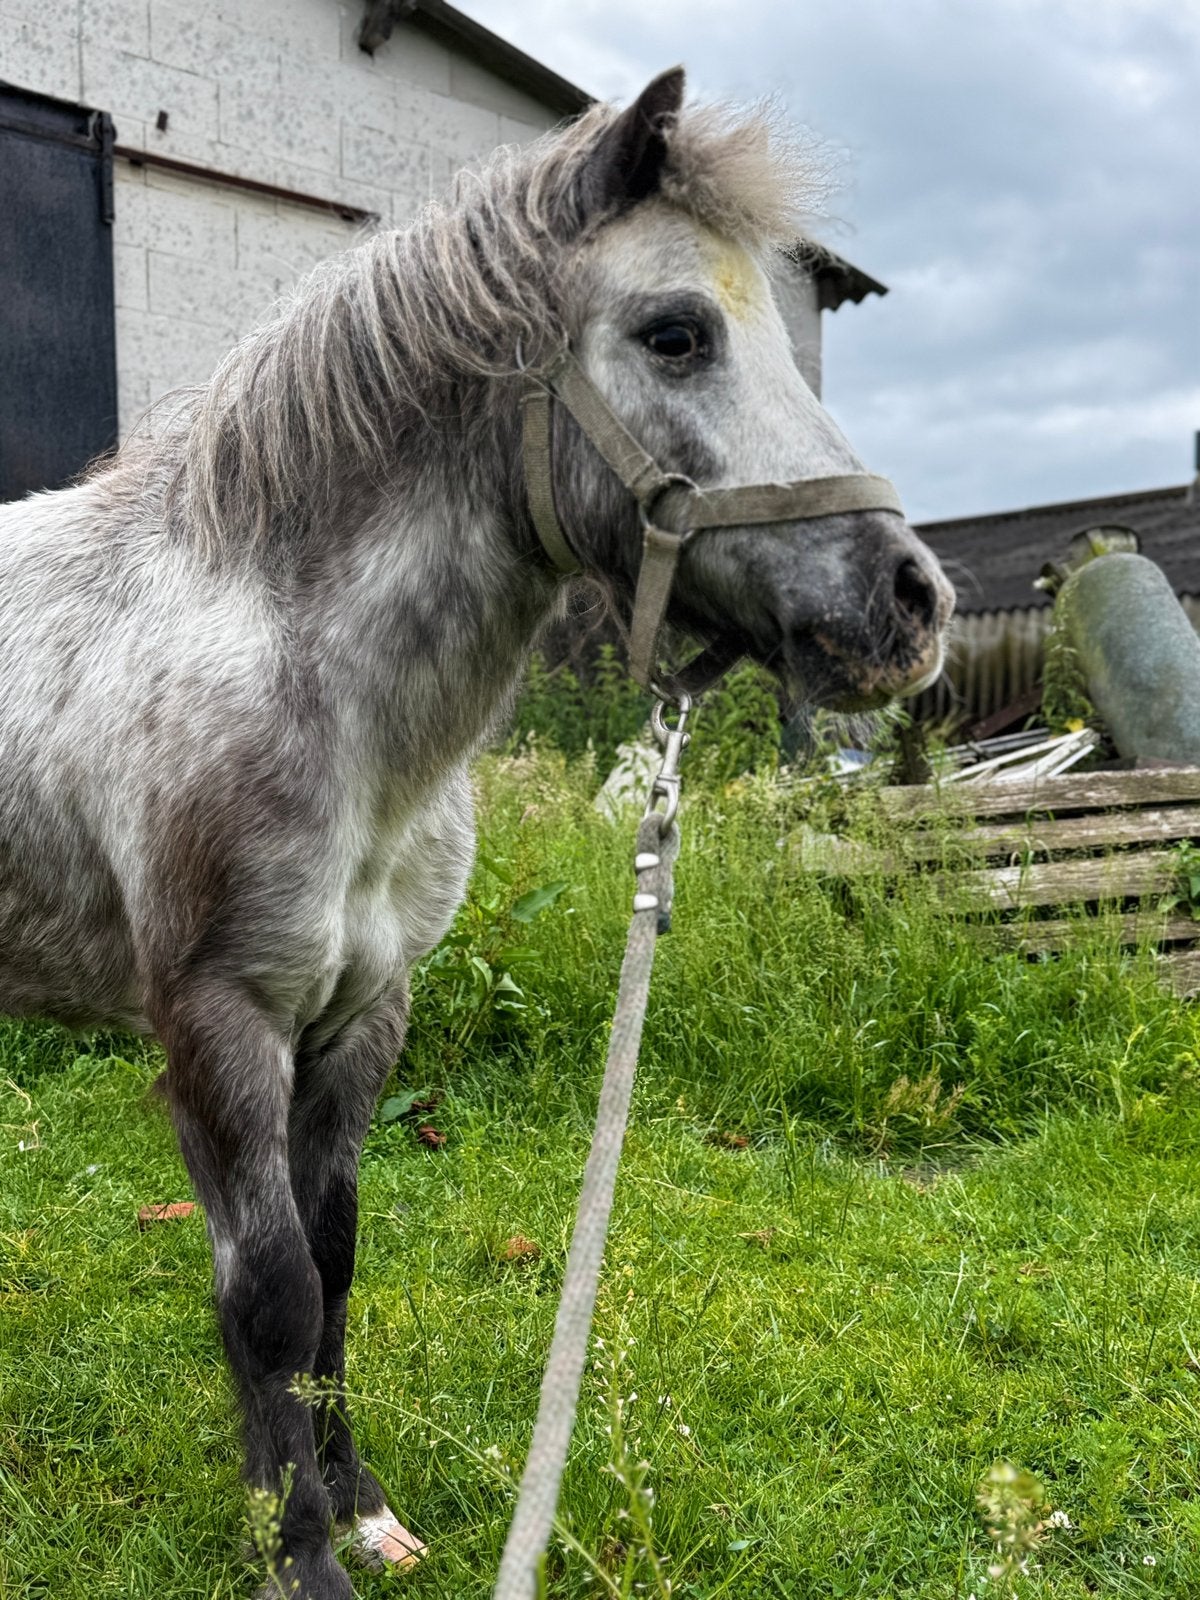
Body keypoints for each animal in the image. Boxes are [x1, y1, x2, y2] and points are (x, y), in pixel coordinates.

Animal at [0, 68, 953, 1598]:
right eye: (675, 332)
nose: (909, 604)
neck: (284, 655)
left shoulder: (362, 1012)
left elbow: (330, 1263)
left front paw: (352, 1504)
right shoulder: (221, 1021)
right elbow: (265, 1290)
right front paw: (298, 1554)